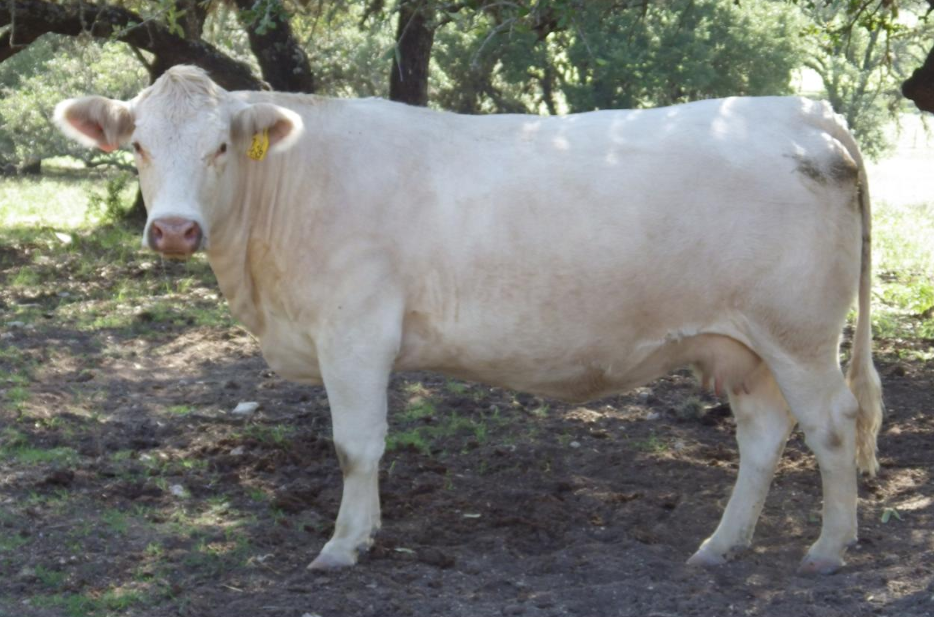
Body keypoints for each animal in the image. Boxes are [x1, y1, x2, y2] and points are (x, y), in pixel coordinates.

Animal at [55, 65, 883, 575]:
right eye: (137, 146)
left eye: (221, 145)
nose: (173, 229)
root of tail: (803, 107)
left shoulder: (355, 331)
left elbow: (355, 446)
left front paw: (346, 542)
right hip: (746, 343)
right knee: (763, 436)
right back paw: (721, 544)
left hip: (800, 334)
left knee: (832, 424)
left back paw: (830, 546)